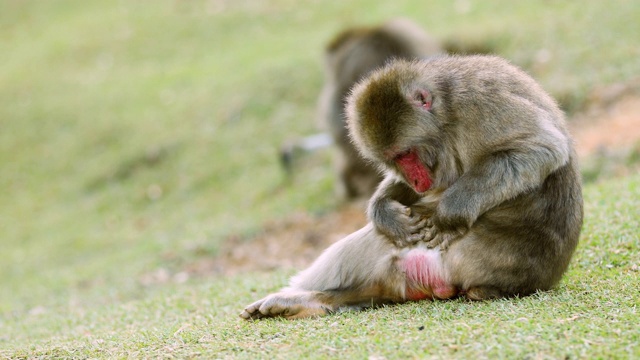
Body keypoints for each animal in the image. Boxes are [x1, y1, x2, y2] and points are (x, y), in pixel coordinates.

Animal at [240, 54, 580, 320]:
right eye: (392, 160)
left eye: (405, 153)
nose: (416, 179)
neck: (446, 109)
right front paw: (385, 212)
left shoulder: (480, 102)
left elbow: (542, 148)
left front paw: (451, 212)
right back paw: (305, 301)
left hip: (477, 255)